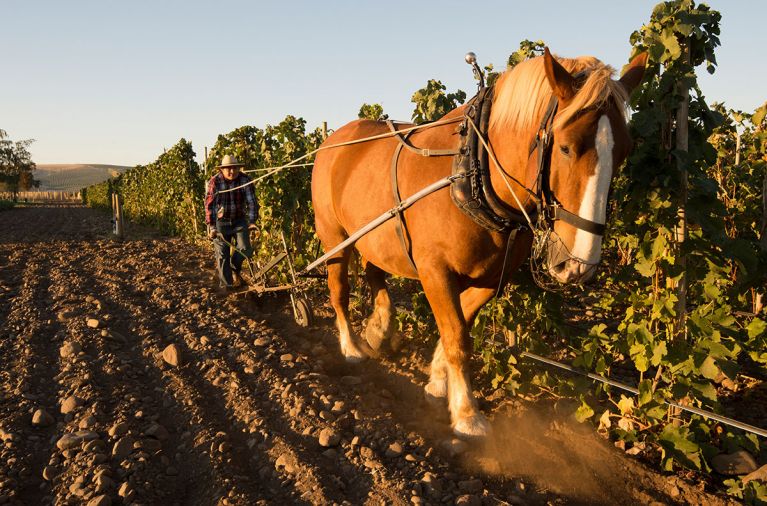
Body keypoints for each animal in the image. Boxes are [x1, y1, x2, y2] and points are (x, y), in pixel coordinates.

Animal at [312, 48, 648, 438]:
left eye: (624, 152)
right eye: (566, 148)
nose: (578, 265)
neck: (473, 175)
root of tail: (333, 140)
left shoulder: (492, 276)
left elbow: (460, 326)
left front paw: (437, 380)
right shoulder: (435, 271)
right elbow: (457, 337)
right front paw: (466, 413)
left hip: (374, 235)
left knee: (374, 273)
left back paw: (379, 329)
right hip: (334, 238)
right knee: (339, 290)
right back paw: (351, 347)